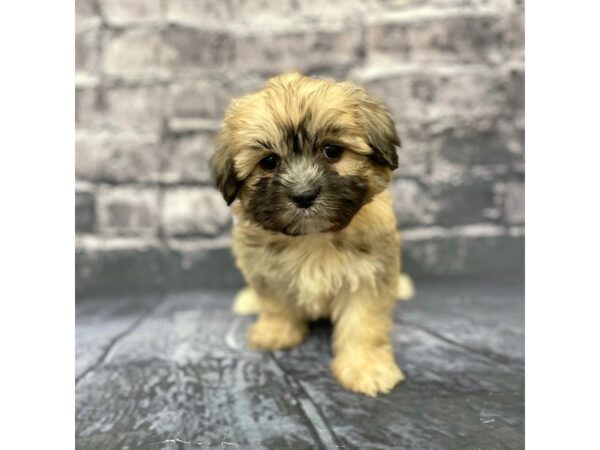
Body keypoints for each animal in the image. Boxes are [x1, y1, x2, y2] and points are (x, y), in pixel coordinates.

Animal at [209, 72, 410, 396]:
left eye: (332, 151)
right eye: (269, 162)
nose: (303, 196)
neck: (313, 237)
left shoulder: (368, 274)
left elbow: (364, 323)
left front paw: (365, 367)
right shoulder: (267, 272)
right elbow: (276, 305)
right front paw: (276, 332)